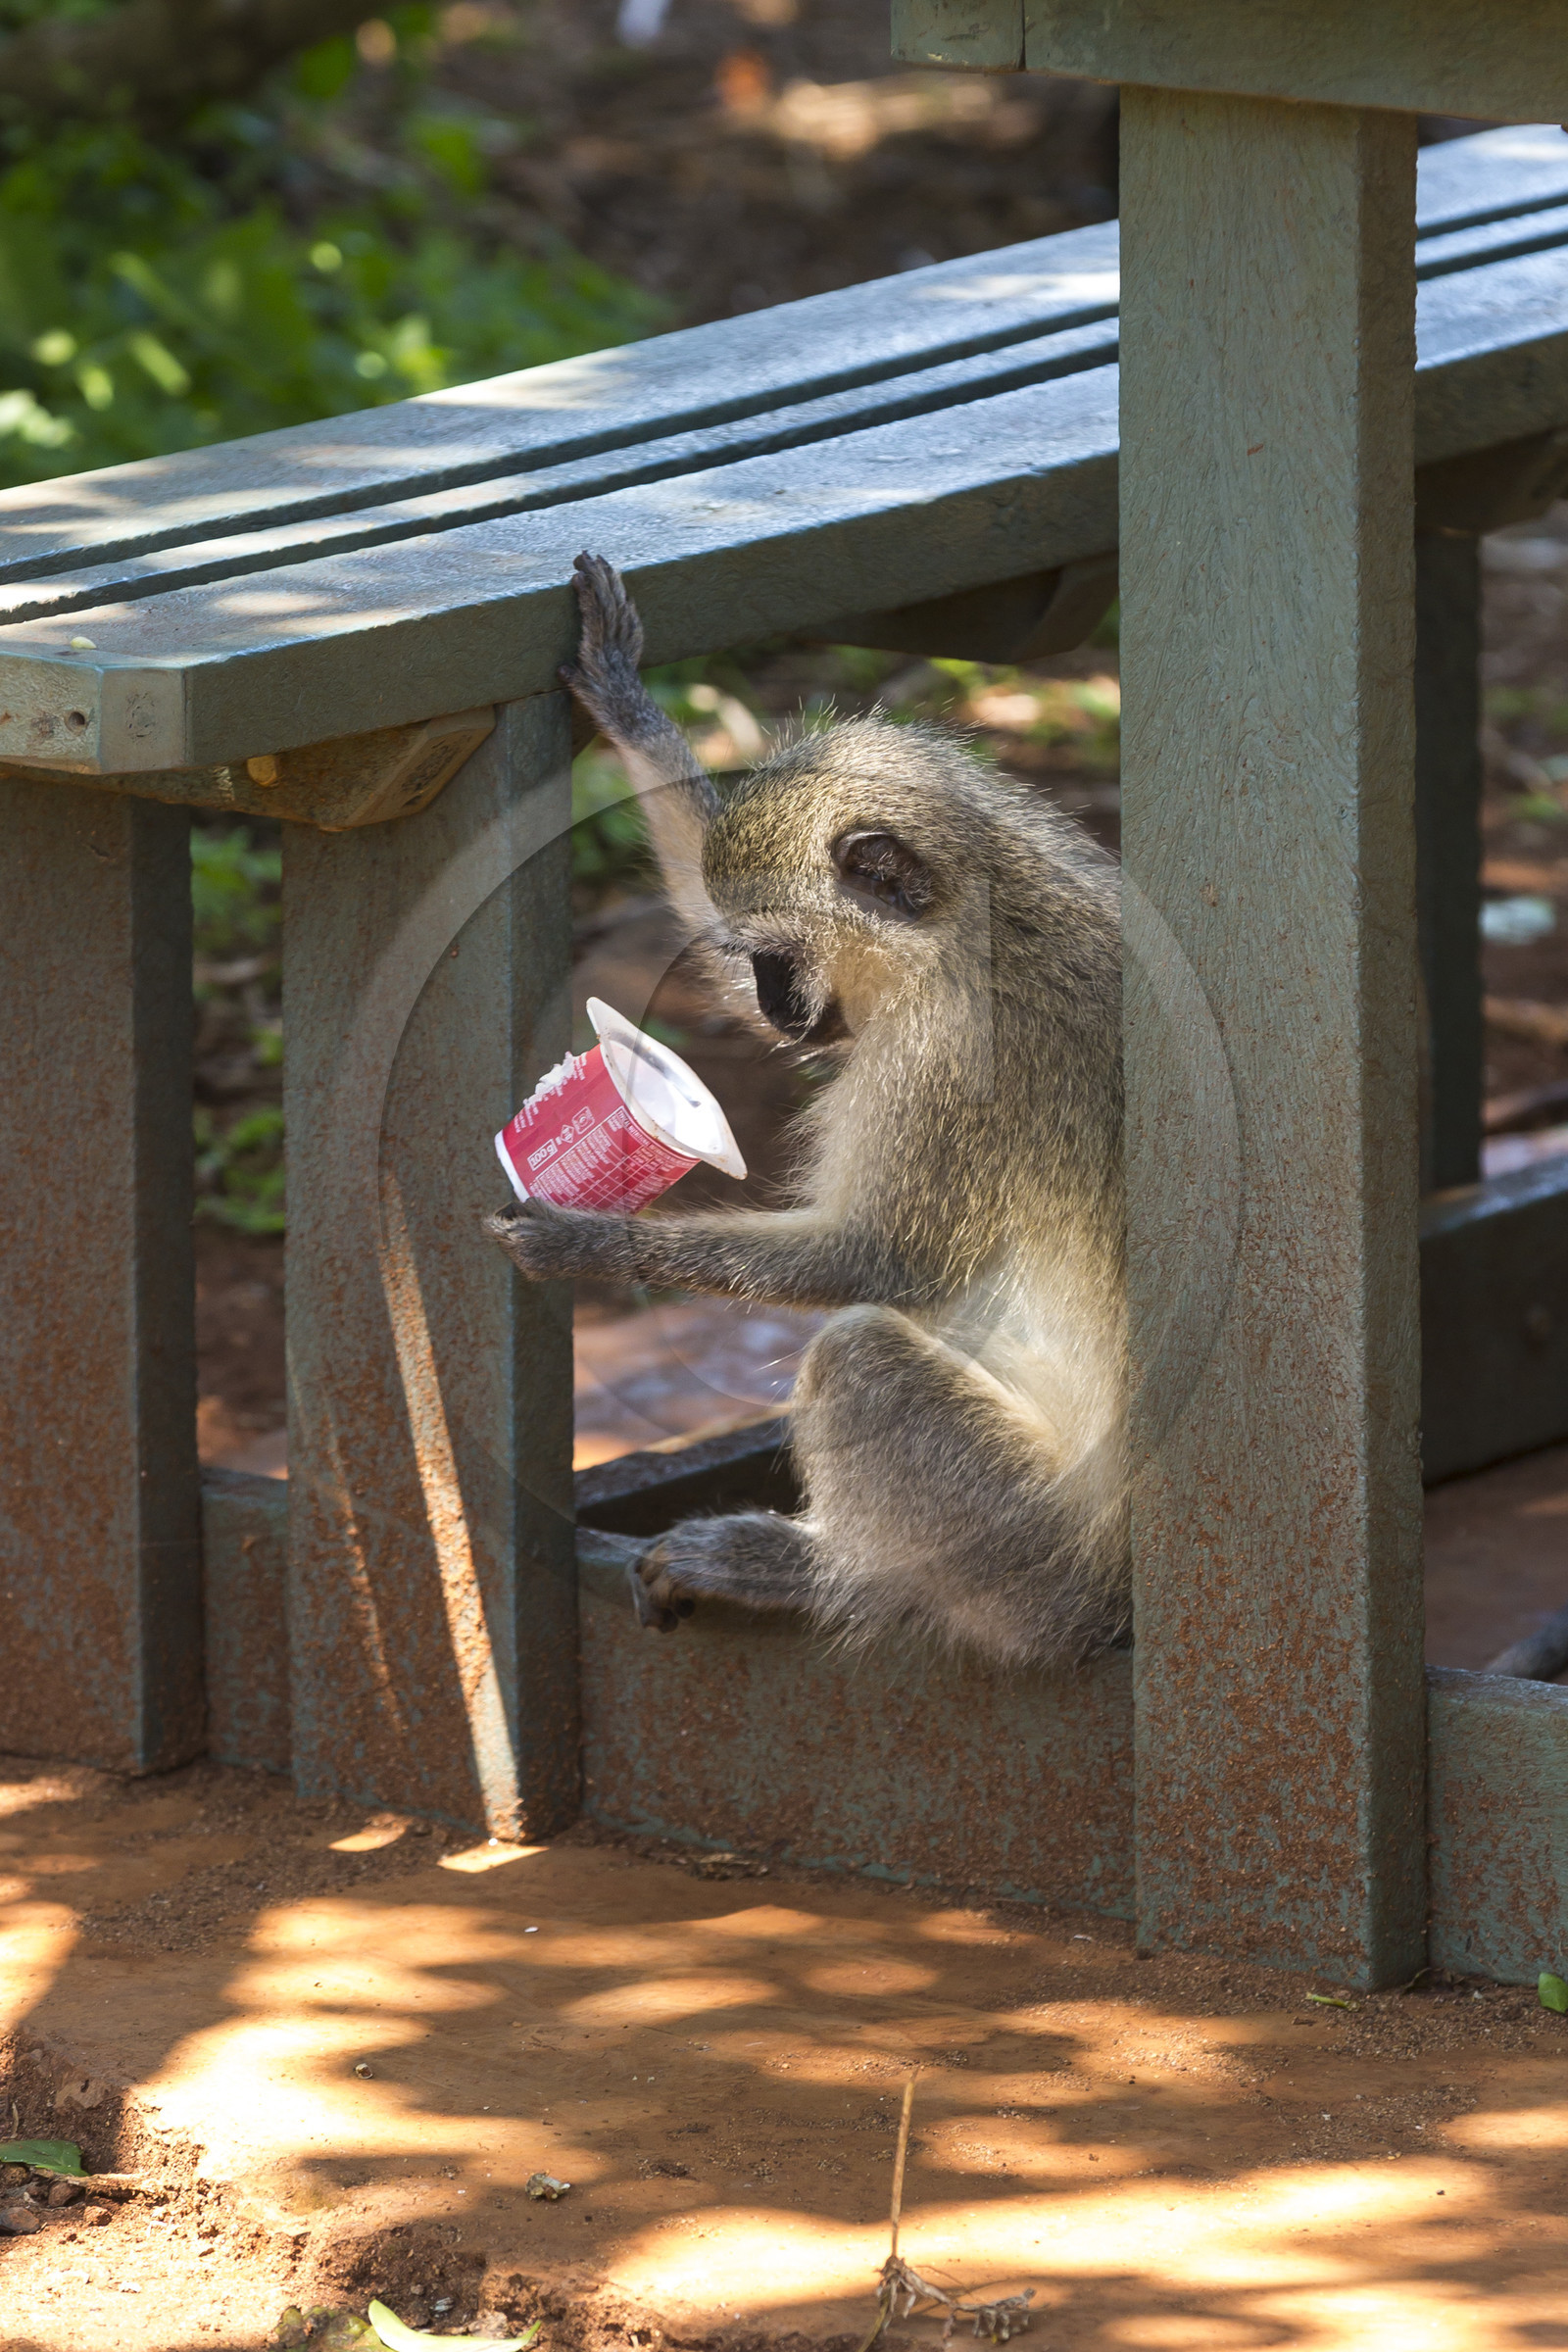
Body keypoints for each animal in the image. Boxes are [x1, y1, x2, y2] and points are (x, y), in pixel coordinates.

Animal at [484, 552, 1126, 1670]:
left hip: (1036, 1548)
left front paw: (590, 1242)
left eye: (777, 956)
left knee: (862, 1355)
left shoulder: (943, 1060)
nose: (778, 1009)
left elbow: (882, 1261)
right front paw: (626, 698)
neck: (986, 921)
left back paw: (814, 1574)